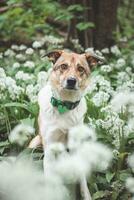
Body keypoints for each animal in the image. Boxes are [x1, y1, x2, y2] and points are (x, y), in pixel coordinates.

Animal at [28, 50, 103, 200]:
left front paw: (85, 195)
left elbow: (82, 180)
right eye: (63, 66)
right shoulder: (50, 149)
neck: (65, 105)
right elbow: (50, 182)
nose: (71, 81)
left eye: (81, 69)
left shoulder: (76, 146)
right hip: (34, 143)